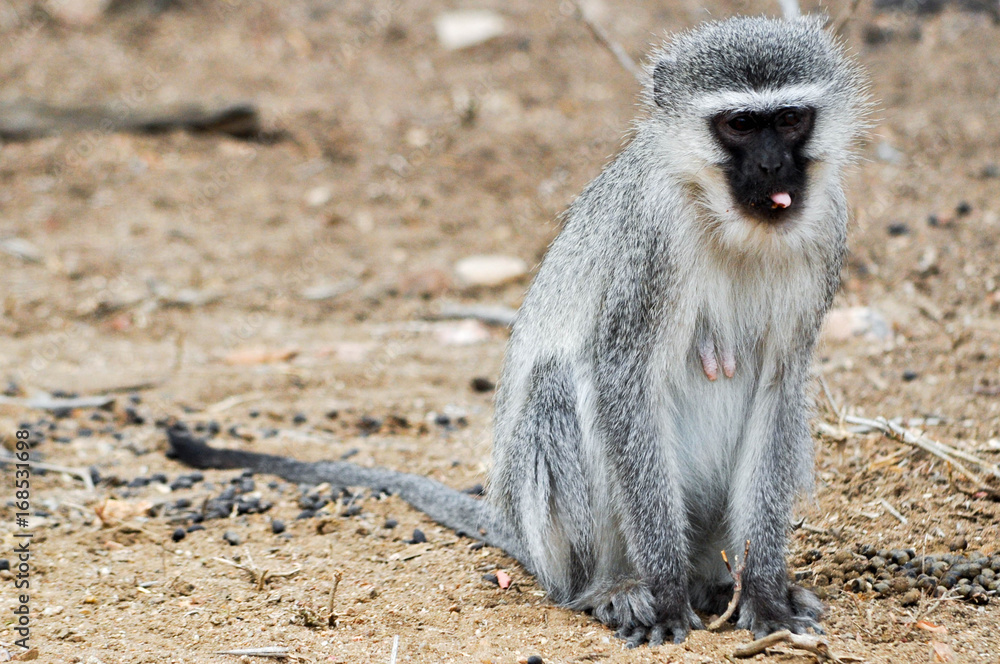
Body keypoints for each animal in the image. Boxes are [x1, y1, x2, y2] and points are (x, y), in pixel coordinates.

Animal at [168, 15, 870, 648]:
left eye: (789, 120)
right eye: (739, 124)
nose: (773, 169)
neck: (726, 219)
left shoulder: (829, 224)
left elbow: (779, 386)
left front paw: (765, 595)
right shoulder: (650, 236)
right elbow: (621, 375)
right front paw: (667, 593)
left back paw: (722, 582)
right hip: (558, 534)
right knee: (558, 387)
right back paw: (615, 587)